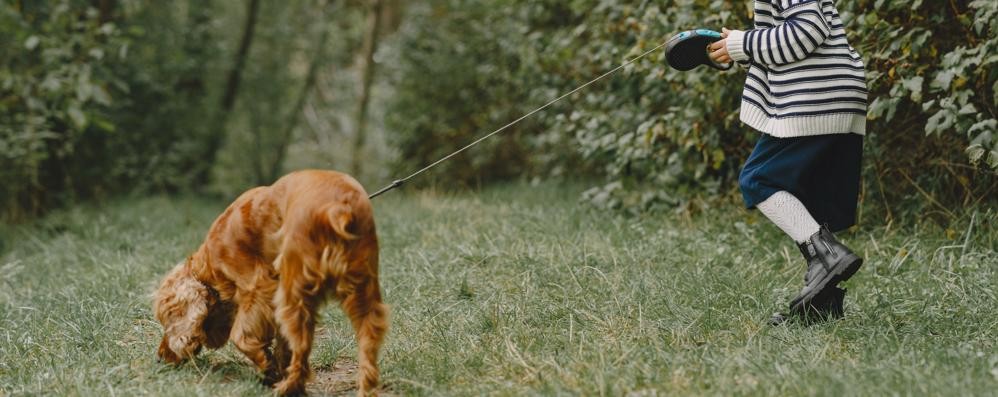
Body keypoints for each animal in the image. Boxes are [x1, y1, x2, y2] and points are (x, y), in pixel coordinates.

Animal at [154, 169, 388, 394]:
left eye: (166, 322)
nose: (160, 357)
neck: (209, 263)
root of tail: (339, 206)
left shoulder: (258, 287)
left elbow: (240, 335)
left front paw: (266, 365)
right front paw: (275, 366)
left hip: (295, 294)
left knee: (302, 343)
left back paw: (289, 388)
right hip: (362, 287)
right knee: (369, 336)